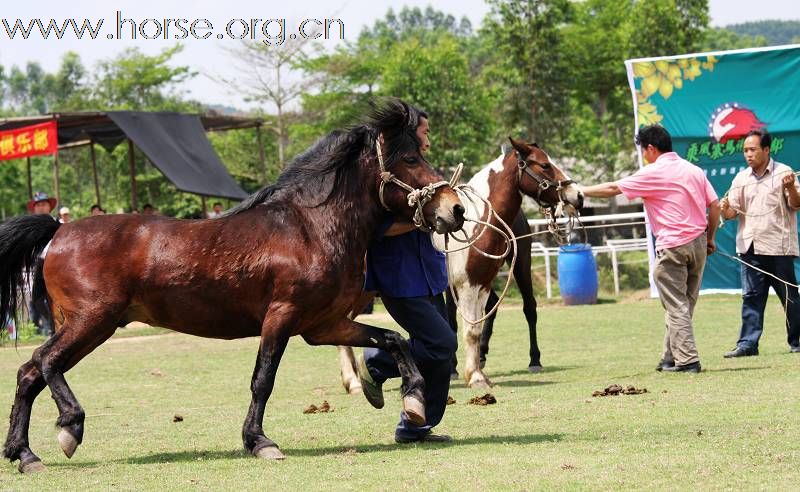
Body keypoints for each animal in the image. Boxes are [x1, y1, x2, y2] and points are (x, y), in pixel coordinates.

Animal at [0, 100, 466, 472]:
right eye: (410, 158)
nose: (456, 209)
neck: (311, 227)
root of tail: (59, 231)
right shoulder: (281, 317)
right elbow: (263, 380)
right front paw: (260, 442)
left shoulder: (323, 325)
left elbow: (394, 339)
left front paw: (413, 401)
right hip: (92, 320)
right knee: (45, 363)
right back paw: (69, 428)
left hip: (85, 324)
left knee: (29, 373)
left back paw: (25, 455)